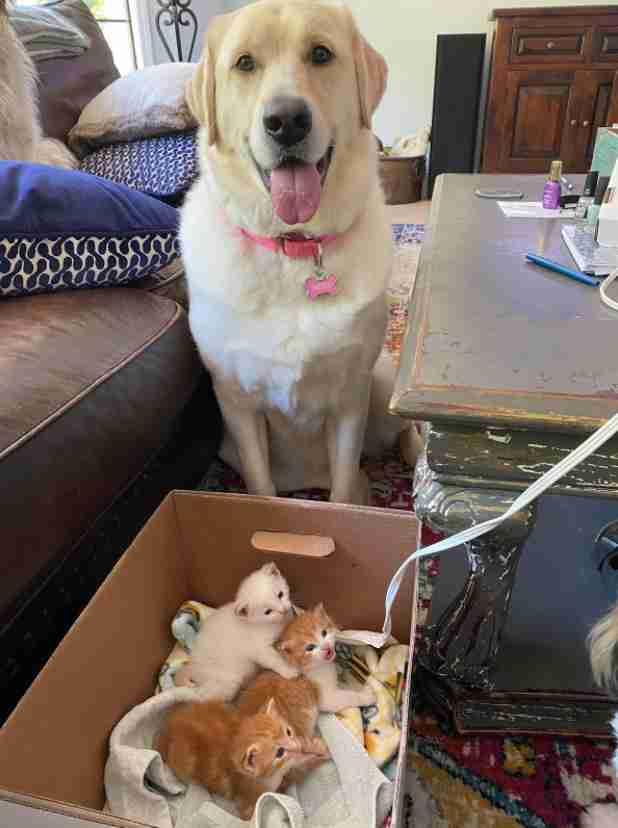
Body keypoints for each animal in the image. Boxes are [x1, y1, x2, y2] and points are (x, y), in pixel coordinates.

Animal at [174, 564, 298, 700]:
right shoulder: (260, 649)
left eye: (280, 594)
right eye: (268, 612)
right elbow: (275, 660)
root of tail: (193, 665)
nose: (283, 610)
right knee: (202, 696)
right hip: (227, 681)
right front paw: (289, 671)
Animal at [179, 0, 418, 504]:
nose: (286, 120)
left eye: (321, 54)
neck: (292, 247)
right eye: (244, 63)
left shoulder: (350, 399)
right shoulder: (237, 404)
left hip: (383, 379)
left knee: (405, 428)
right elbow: (261, 487)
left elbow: (344, 491)